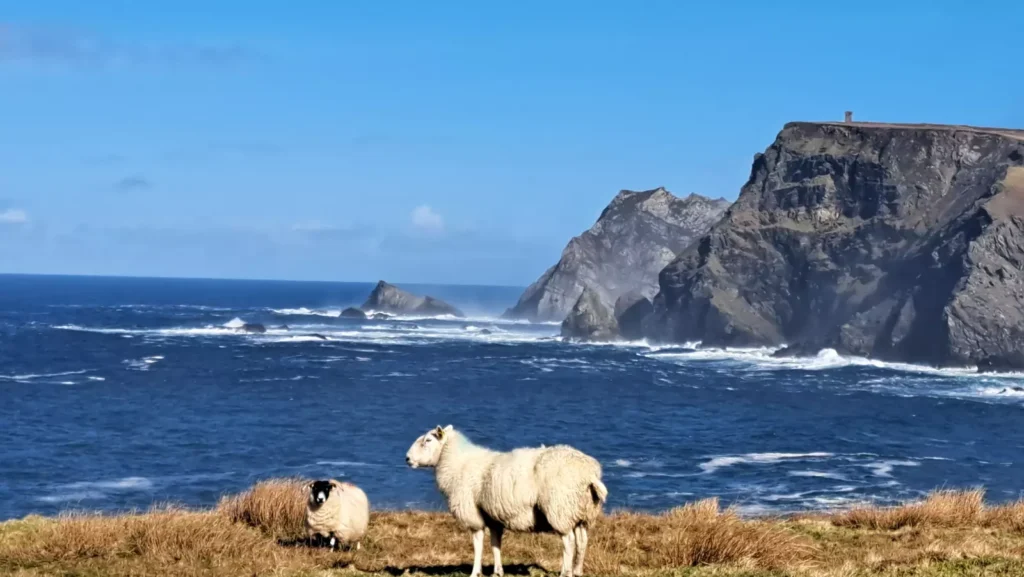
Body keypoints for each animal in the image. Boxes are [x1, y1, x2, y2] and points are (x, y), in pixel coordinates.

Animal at [405, 425, 608, 577]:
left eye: (428, 440)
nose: (407, 458)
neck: (457, 463)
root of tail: (588, 472)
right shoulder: (492, 517)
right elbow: (495, 544)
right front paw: (497, 571)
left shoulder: (473, 515)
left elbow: (478, 544)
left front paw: (475, 572)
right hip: (582, 512)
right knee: (582, 542)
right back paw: (578, 570)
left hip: (560, 508)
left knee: (569, 542)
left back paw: (566, 572)